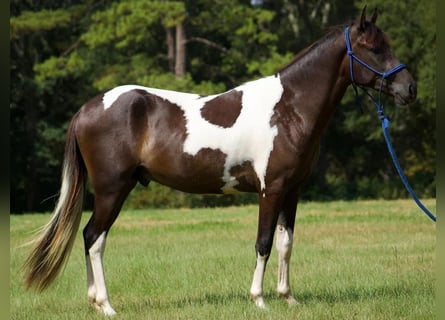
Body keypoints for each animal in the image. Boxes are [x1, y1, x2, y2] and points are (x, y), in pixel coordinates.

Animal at [25, 7, 416, 316]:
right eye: (374, 48)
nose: (409, 89)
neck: (288, 109)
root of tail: (87, 108)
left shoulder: (292, 191)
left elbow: (286, 243)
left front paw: (288, 298)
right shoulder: (271, 190)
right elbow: (263, 243)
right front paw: (259, 299)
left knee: (89, 237)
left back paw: (95, 302)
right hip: (112, 189)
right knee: (94, 238)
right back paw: (106, 305)